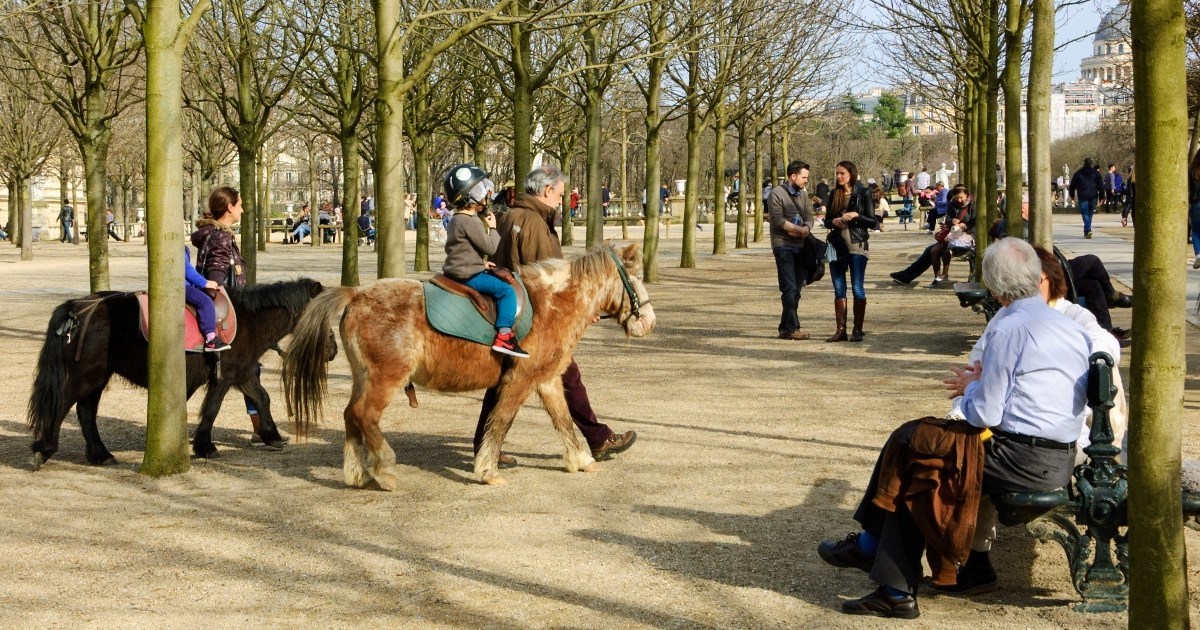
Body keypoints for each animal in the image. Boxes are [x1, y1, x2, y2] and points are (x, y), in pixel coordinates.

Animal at [29, 276, 328, 465]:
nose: (332, 351)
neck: (249, 319)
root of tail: (78, 309)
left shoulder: (241, 373)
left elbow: (261, 398)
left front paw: (271, 435)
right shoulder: (225, 376)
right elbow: (212, 409)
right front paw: (205, 447)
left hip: (97, 378)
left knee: (85, 412)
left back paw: (101, 455)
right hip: (87, 376)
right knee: (64, 405)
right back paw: (45, 448)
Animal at [280, 243, 657, 489]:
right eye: (636, 279)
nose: (650, 322)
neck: (551, 303)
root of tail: (357, 294)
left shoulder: (547, 380)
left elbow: (564, 421)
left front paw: (582, 459)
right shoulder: (519, 381)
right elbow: (501, 422)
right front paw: (487, 469)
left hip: (364, 376)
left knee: (350, 416)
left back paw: (357, 472)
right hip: (385, 379)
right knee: (364, 415)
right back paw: (384, 468)